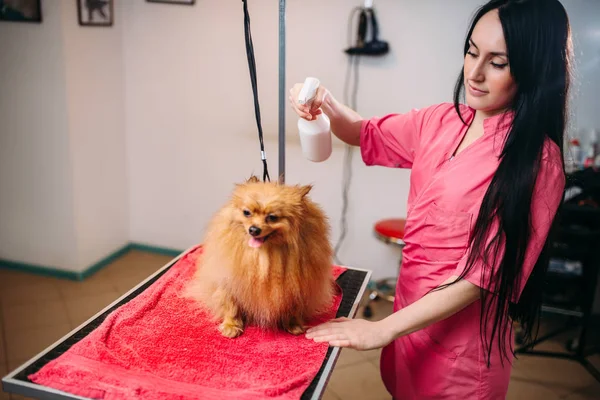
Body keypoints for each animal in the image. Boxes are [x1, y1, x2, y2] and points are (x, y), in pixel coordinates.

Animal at [186, 175, 336, 338]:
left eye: (272, 217)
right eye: (247, 213)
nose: (254, 229)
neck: (263, 254)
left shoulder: (297, 286)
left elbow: (294, 308)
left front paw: (293, 324)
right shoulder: (228, 282)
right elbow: (231, 305)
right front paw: (231, 325)